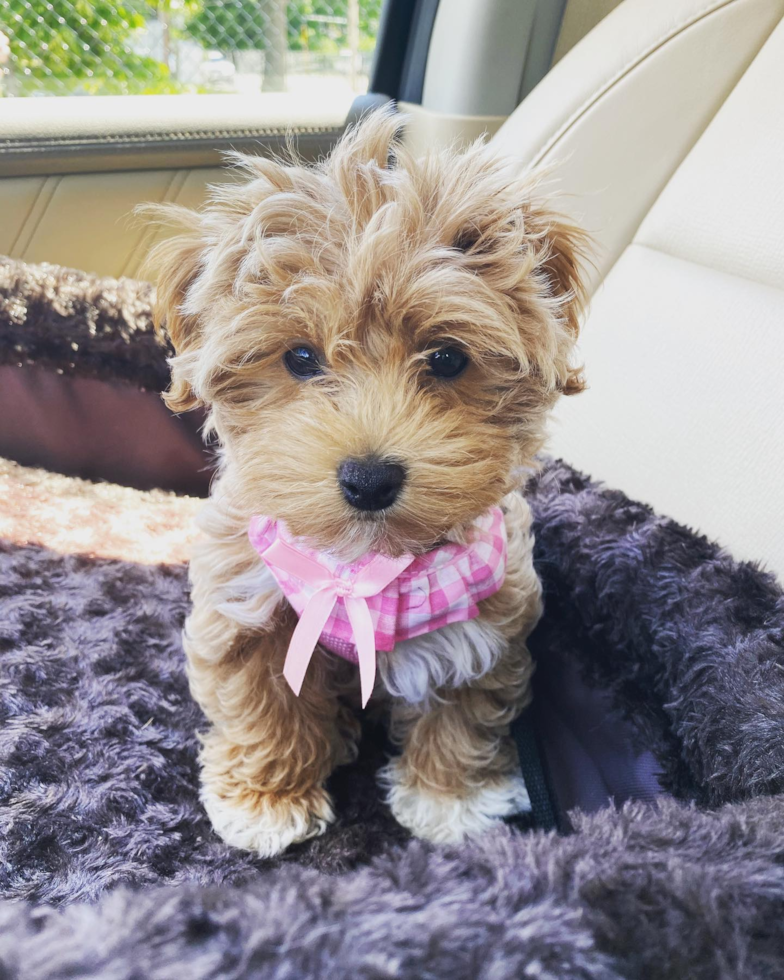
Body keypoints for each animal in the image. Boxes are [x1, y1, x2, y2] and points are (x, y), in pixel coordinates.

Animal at [150, 111, 584, 852]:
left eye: (448, 358)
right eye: (299, 358)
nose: (369, 478)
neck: (361, 567)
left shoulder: (486, 608)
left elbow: (464, 703)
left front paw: (451, 798)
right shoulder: (246, 596)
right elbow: (261, 702)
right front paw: (267, 798)